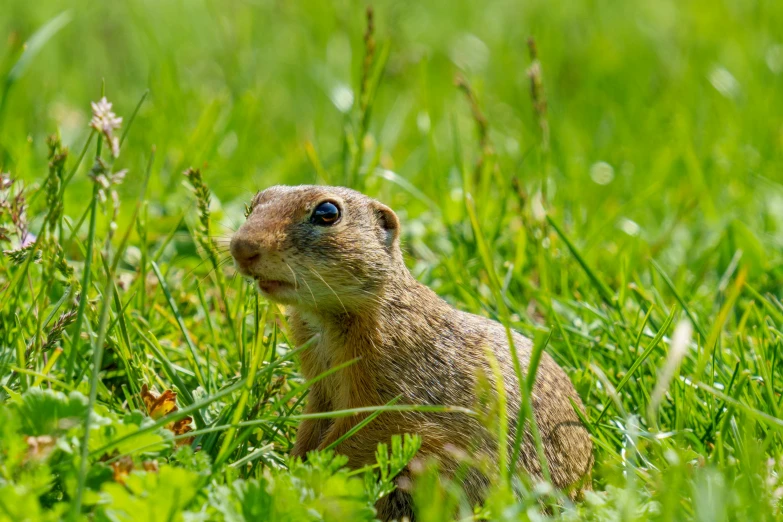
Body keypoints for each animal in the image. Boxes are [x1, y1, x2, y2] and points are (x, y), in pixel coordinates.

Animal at [231, 185, 596, 516]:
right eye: (253, 204)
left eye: (327, 213)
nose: (240, 247)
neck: (327, 318)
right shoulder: (320, 387)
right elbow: (313, 424)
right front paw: (292, 470)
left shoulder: (392, 388)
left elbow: (362, 433)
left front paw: (305, 477)